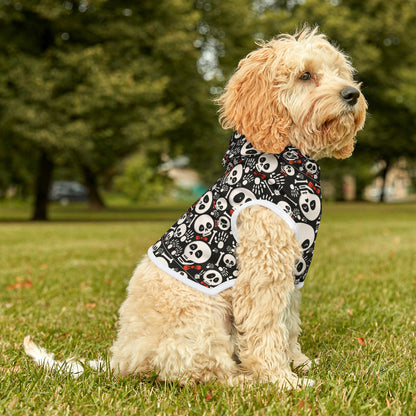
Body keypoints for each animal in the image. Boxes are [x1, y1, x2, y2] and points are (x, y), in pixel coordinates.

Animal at [24, 27, 366, 388]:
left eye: (340, 72)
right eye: (305, 75)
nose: (352, 94)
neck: (287, 161)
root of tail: (121, 359)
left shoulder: (292, 272)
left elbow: (288, 323)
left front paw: (298, 363)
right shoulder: (263, 271)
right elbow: (266, 328)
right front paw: (281, 380)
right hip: (202, 318)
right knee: (200, 371)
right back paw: (244, 380)